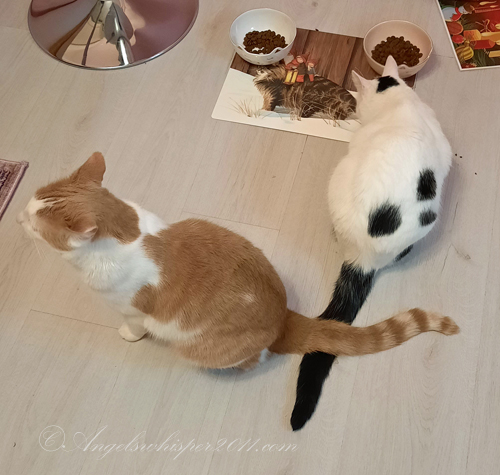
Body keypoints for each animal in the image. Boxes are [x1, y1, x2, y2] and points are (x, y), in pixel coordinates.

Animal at [18, 153, 457, 375]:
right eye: (30, 200)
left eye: (37, 225)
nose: (18, 218)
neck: (129, 231)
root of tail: (284, 317)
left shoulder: (130, 307)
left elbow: (133, 324)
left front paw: (129, 335)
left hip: (197, 349)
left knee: (253, 358)